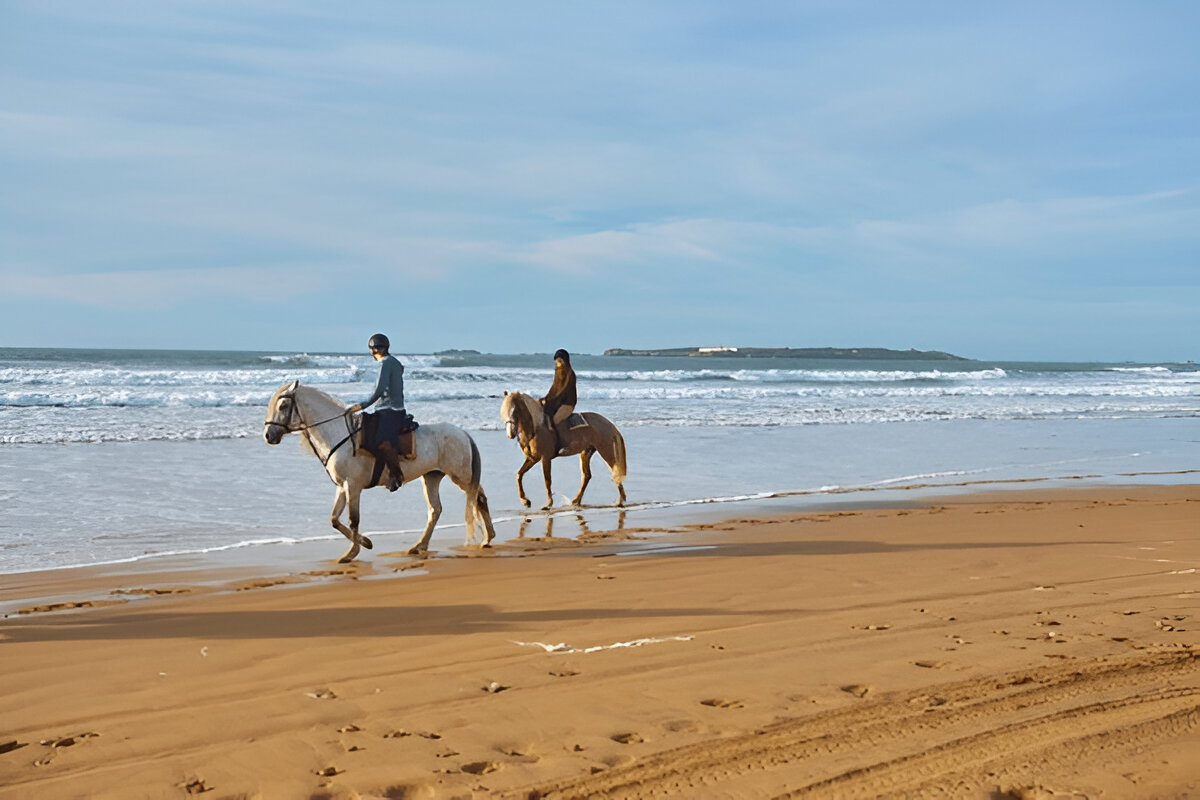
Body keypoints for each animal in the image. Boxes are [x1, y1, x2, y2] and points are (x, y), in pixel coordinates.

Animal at [263, 380, 496, 562]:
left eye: (283, 405)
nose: (268, 435)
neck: (339, 434)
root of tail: (462, 432)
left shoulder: (353, 486)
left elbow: (353, 519)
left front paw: (352, 552)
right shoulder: (342, 486)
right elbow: (334, 519)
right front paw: (366, 542)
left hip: (461, 476)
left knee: (479, 498)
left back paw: (487, 538)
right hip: (431, 477)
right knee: (436, 510)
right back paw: (420, 545)